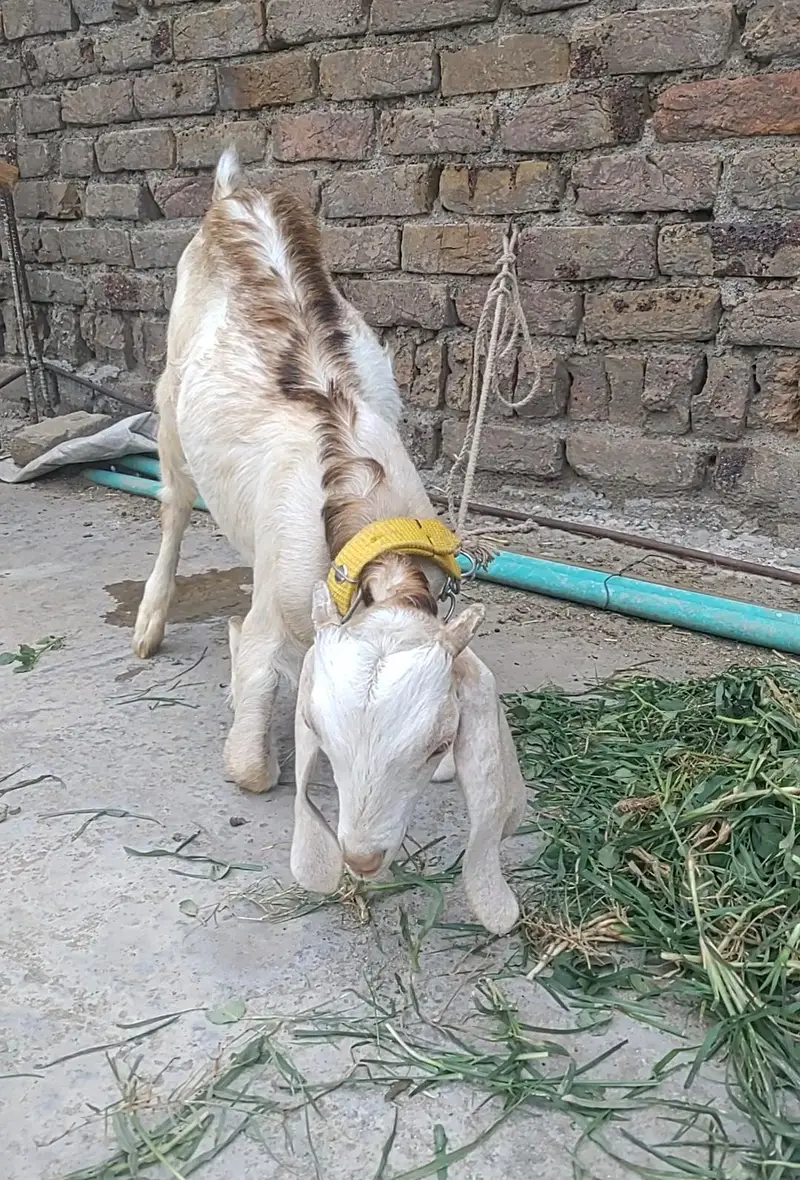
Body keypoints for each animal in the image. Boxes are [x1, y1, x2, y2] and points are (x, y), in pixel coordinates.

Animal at [133, 150, 526, 934]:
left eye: (437, 743)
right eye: (318, 727)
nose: (363, 860)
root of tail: (236, 194)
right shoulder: (279, 609)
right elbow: (251, 767)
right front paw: (243, 693)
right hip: (168, 398)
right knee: (174, 506)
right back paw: (151, 619)